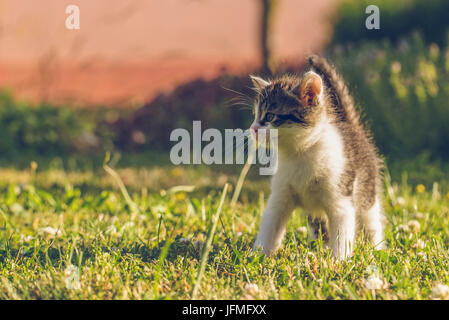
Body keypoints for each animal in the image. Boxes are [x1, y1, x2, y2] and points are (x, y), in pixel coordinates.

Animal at [250, 55, 384, 260]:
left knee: (371, 219)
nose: (253, 128)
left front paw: (339, 261)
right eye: (255, 115)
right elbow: (270, 224)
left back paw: (377, 248)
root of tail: (350, 125)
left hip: (367, 188)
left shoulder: (341, 196)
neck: (299, 153)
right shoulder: (280, 195)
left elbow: (342, 231)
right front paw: (258, 255)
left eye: (270, 116)